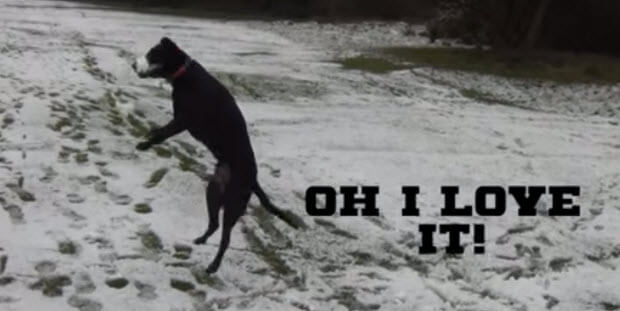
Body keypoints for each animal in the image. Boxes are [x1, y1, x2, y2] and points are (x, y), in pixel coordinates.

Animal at [132, 37, 296, 274]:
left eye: (152, 54)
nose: (133, 65)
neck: (184, 74)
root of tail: (253, 179)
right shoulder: (179, 120)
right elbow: (160, 131)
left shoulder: (183, 120)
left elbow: (161, 134)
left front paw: (144, 144)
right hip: (213, 192)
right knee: (214, 224)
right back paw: (200, 240)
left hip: (233, 206)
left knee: (225, 238)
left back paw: (214, 266)